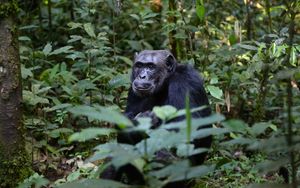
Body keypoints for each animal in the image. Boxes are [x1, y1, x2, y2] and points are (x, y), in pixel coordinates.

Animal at [104, 50, 212, 188]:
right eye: (139, 66)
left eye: (151, 67)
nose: (142, 76)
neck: (165, 83)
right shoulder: (132, 89)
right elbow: (127, 116)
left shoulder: (185, 82)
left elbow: (185, 130)